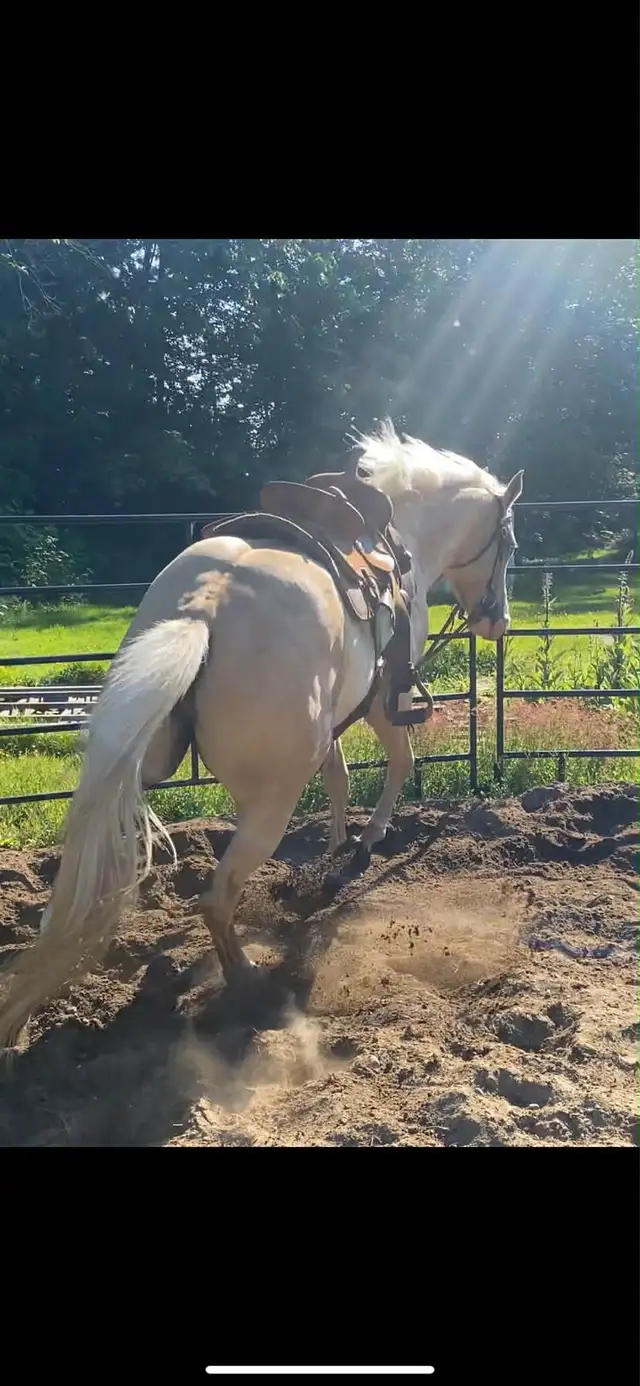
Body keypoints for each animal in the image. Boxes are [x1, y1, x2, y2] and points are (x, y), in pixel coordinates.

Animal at [0, 421, 522, 1049]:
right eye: (509, 544)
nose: (498, 621)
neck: (405, 539)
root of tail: (203, 608)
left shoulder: (337, 718)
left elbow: (339, 776)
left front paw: (333, 848)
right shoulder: (384, 700)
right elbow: (399, 763)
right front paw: (363, 845)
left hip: (135, 766)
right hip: (273, 798)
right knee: (218, 896)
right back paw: (247, 980)